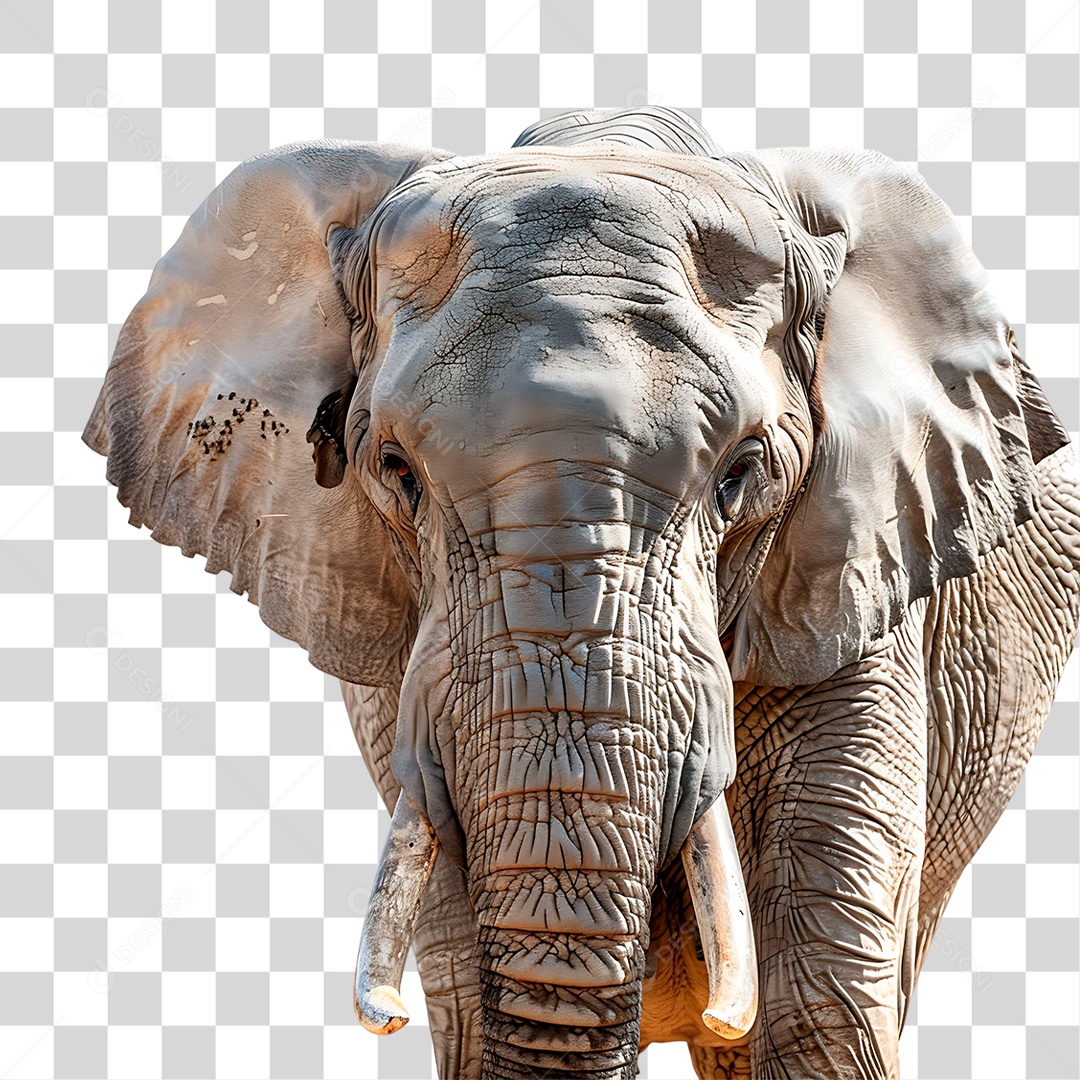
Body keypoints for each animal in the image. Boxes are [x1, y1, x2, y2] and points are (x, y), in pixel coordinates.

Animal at [84, 106, 1080, 1079]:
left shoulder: (857, 585)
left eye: (740, 475)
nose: (386, 1018)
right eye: (395, 470)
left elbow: (816, 1013)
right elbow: (468, 1003)